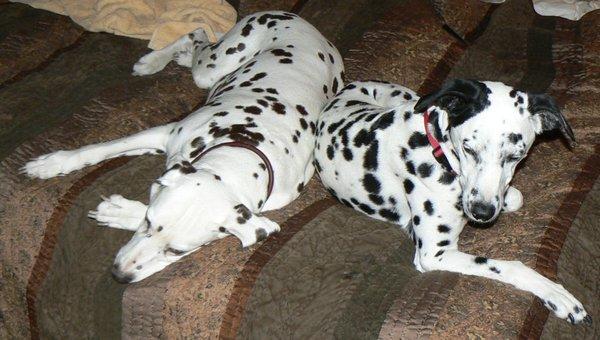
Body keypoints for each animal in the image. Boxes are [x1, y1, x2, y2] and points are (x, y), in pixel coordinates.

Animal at [23, 9, 344, 282]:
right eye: (148, 222)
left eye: (177, 251)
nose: (119, 275)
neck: (244, 148)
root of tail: (302, 21)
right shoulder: (165, 134)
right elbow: (98, 149)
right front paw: (52, 164)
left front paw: (119, 211)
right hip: (214, 65)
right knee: (197, 33)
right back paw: (155, 60)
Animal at [314, 78, 592, 326]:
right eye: (469, 149)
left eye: (515, 155)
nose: (481, 212)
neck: (435, 151)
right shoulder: (434, 254)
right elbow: (510, 266)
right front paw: (554, 292)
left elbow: (514, 197)